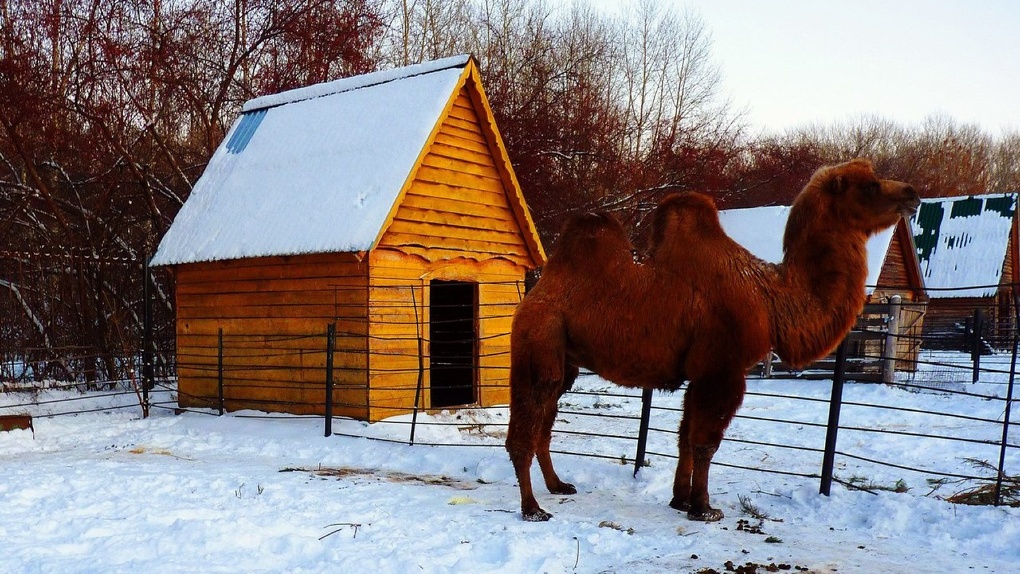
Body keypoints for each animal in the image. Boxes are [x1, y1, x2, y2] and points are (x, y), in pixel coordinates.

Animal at [505, 159, 922, 522]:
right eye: (870, 185)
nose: (912, 192)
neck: (771, 299)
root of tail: (536, 290)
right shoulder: (723, 369)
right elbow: (706, 442)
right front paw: (704, 508)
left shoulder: (700, 373)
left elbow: (685, 438)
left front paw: (680, 500)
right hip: (538, 338)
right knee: (525, 427)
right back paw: (533, 508)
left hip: (566, 361)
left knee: (545, 421)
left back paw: (558, 485)